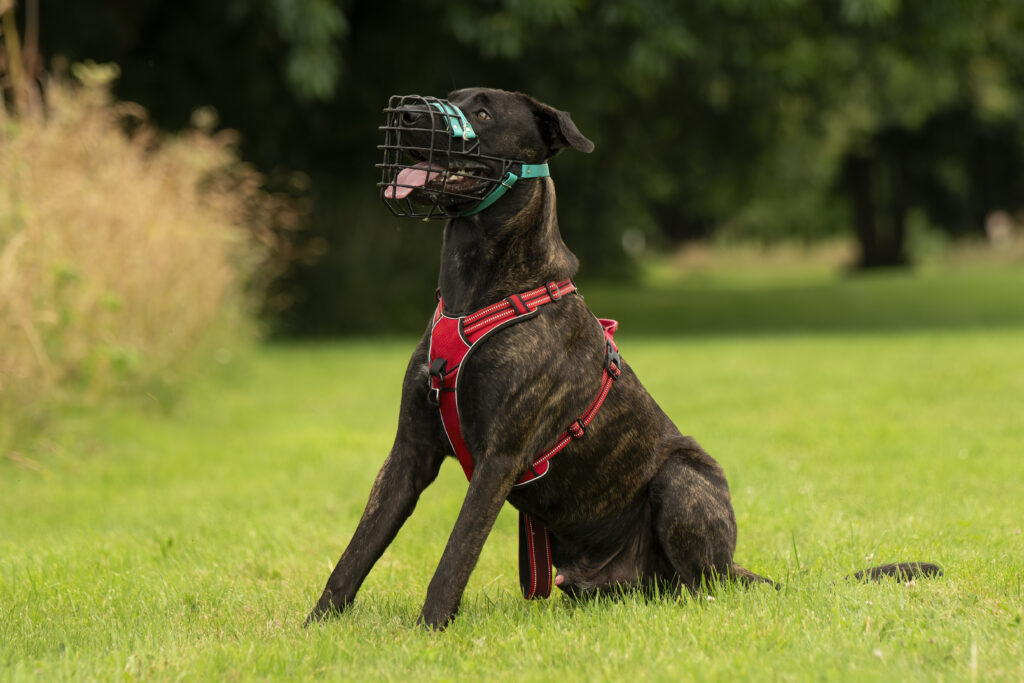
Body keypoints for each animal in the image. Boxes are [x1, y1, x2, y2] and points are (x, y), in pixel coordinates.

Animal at [305, 87, 942, 630]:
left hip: (683, 478)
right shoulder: (409, 452)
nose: (408, 113)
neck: (476, 293)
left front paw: (429, 631)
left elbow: (455, 553)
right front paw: (317, 628)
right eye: (450, 96)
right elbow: (357, 551)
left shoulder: (499, 457)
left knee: (701, 586)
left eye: (482, 113)